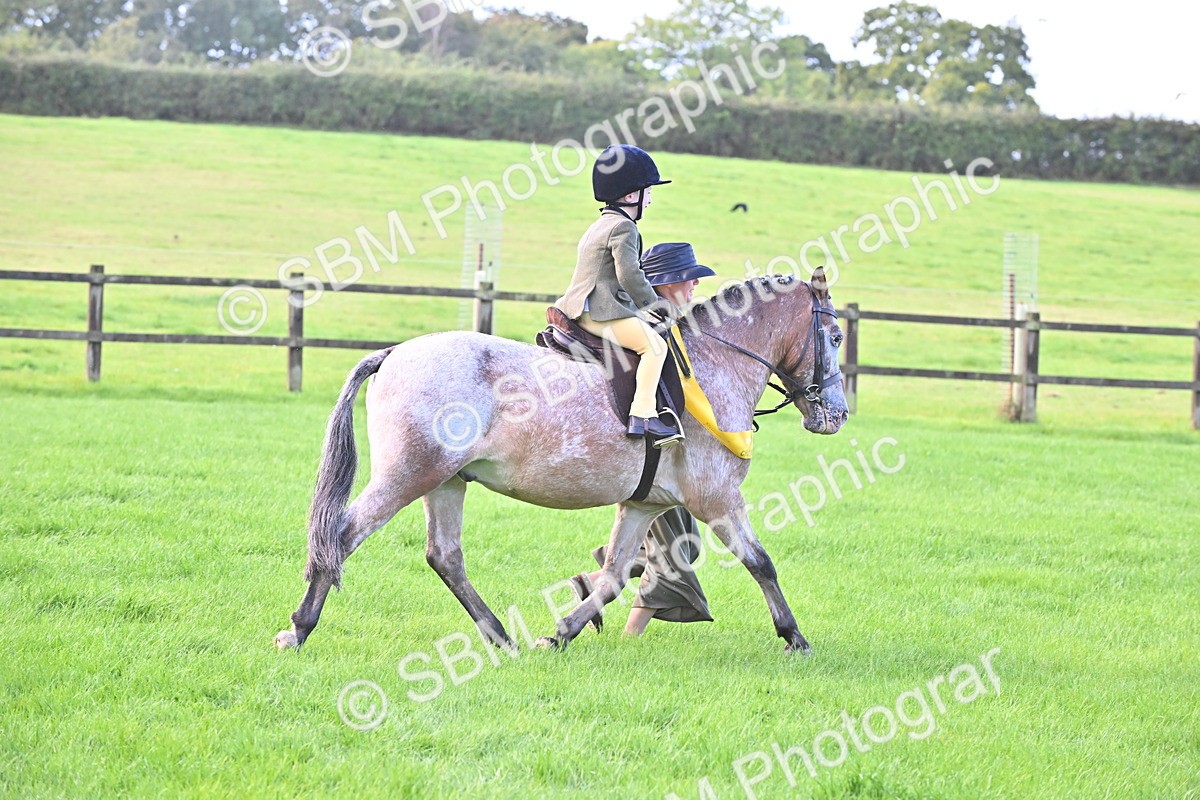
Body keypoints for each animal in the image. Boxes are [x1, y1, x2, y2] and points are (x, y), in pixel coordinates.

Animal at [274, 269, 848, 654]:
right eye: (837, 336)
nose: (838, 414)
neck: (710, 367)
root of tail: (393, 353)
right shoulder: (718, 500)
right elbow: (761, 561)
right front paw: (794, 636)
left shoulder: (644, 506)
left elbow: (614, 576)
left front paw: (561, 633)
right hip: (410, 473)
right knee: (342, 535)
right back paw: (300, 628)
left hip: (446, 481)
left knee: (445, 557)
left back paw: (500, 636)